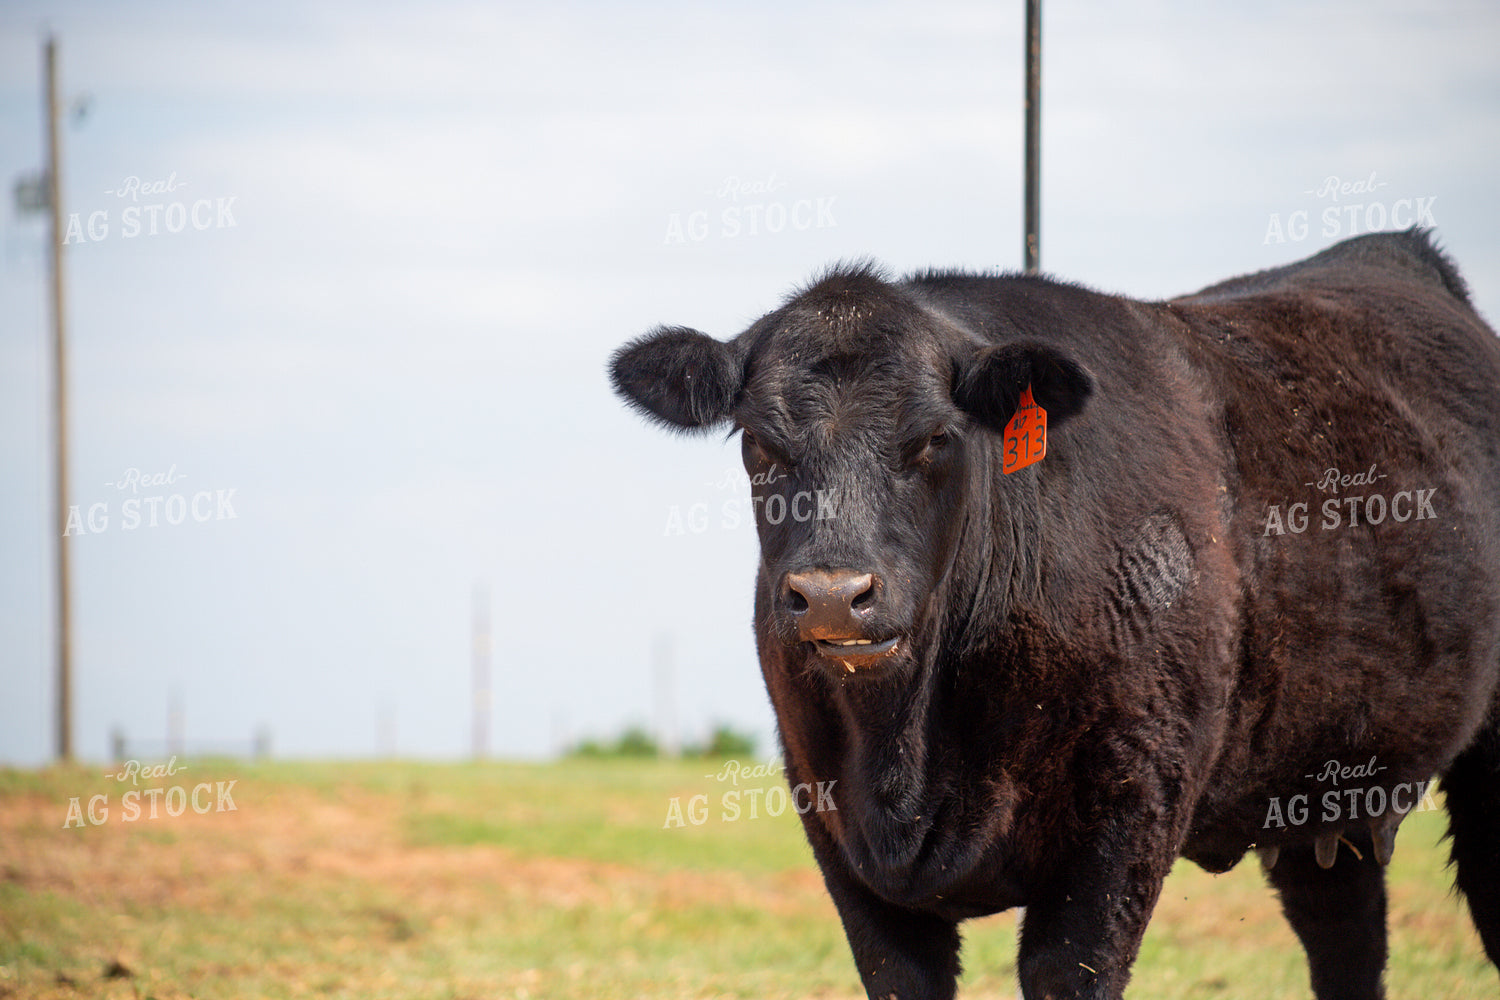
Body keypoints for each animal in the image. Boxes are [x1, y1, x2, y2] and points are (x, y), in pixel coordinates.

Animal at [608, 227, 1500, 1000]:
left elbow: (1067, 970)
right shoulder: (834, 826)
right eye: (758, 443)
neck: (910, 751)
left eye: (934, 438)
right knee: (1346, 936)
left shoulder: (1127, 813)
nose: (832, 593)